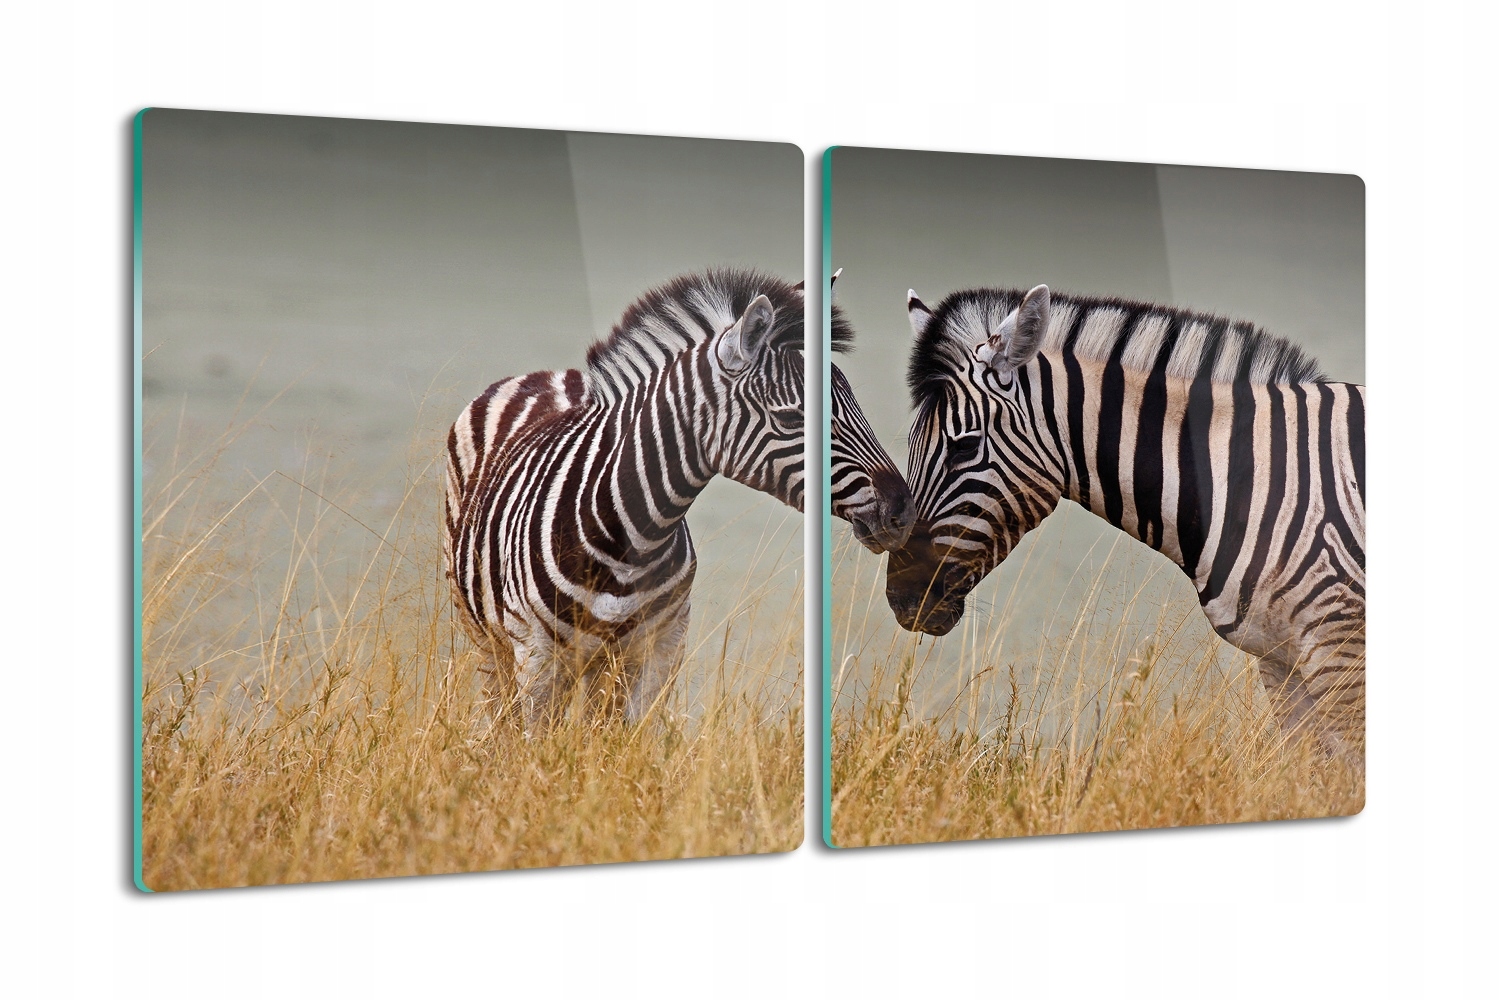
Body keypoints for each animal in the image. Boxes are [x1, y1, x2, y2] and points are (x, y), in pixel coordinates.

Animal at [444, 268, 908, 730]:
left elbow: (628, 739)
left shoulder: (662, 648)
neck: (630, 536)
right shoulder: (537, 655)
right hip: (487, 639)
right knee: (498, 713)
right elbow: (535, 740)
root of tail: (547, 374)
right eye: (793, 417)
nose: (902, 510)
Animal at [884, 284, 1365, 755]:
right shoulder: (1278, 659)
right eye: (910, 444)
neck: (1244, 473)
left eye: (963, 446)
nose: (901, 598)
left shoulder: (1340, 646)